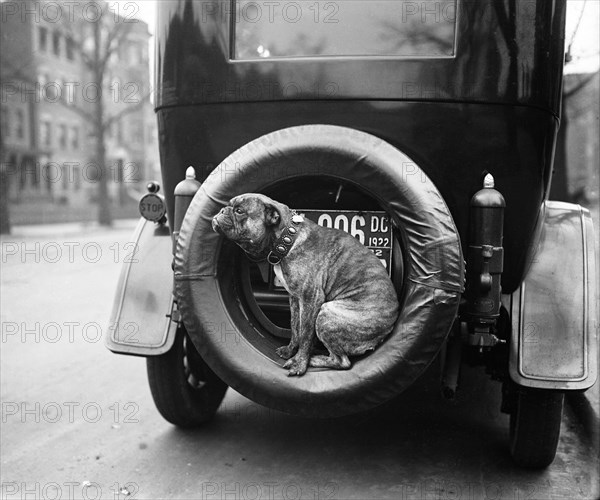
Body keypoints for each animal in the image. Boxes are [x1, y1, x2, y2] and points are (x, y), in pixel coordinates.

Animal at [211, 193, 398, 376]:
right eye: (229, 206)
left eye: (239, 211)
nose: (222, 210)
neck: (287, 238)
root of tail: (388, 329)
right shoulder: (295, 299)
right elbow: (296, 328)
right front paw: (290, 351)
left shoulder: (311, 299)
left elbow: (306, 335)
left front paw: (299, 363)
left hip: (327, 314)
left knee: (343, 362)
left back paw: (314, 359)